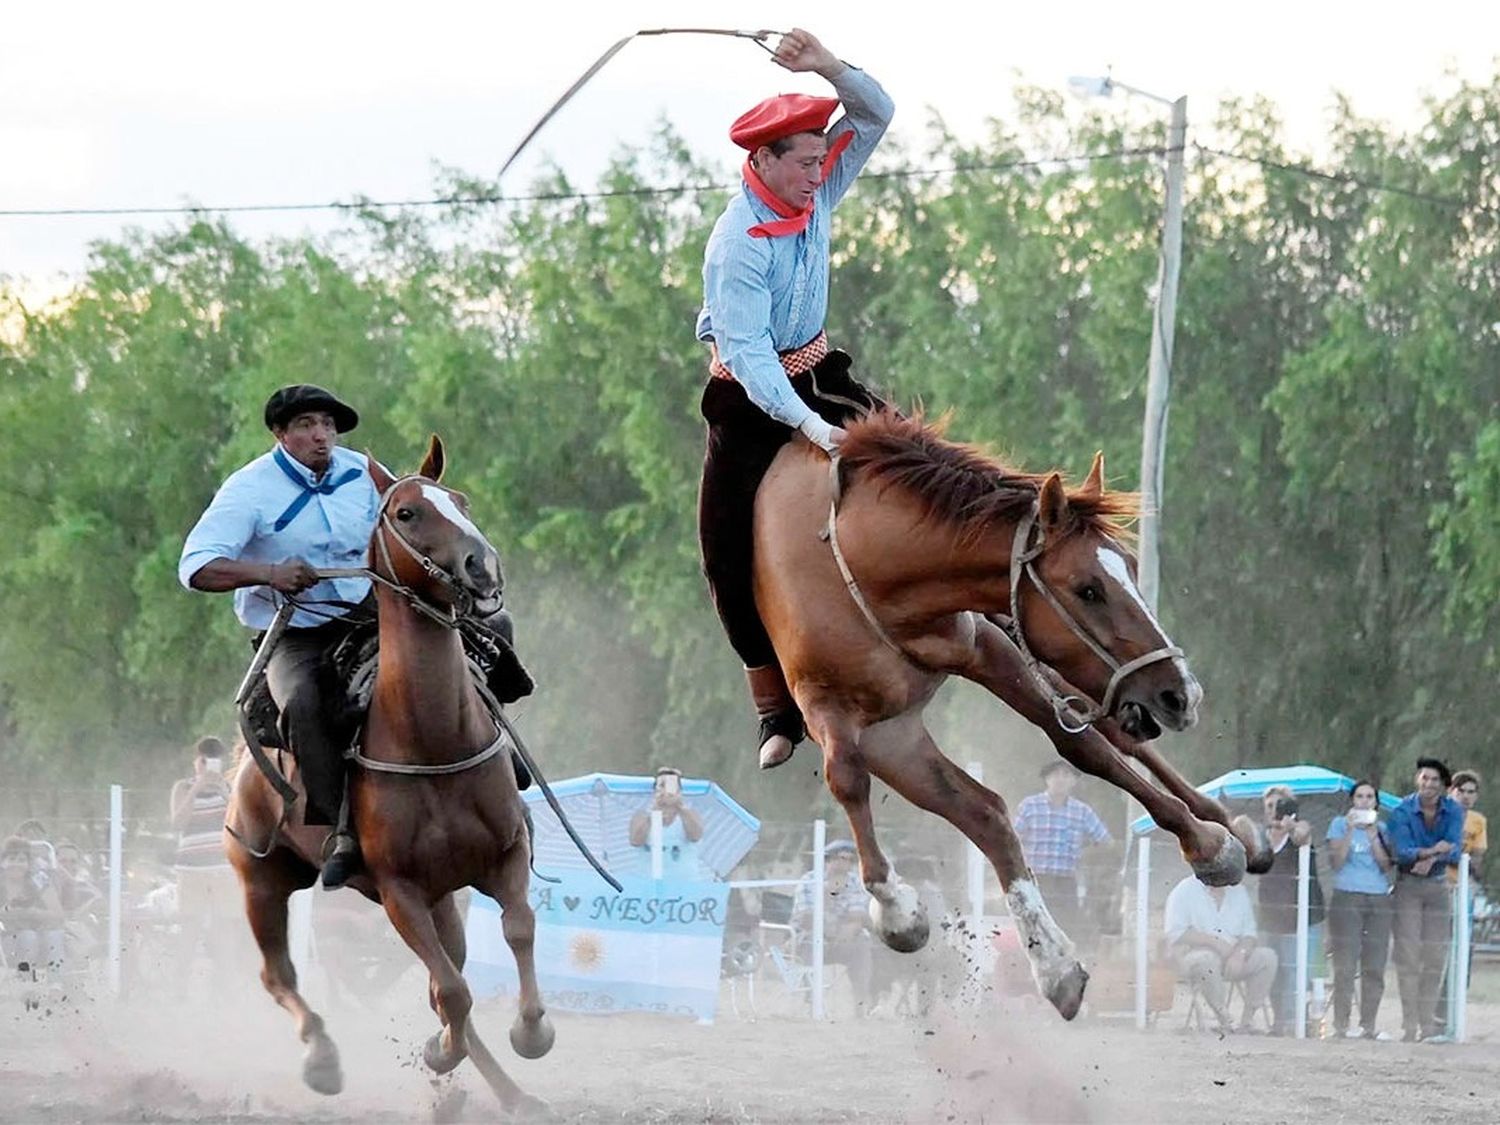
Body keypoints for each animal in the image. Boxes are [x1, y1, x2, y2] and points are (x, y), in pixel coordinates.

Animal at [222, 435, 552, 1116]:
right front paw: (441, 1051)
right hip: (261, 878)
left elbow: (515, 933)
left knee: (443, 978)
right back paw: (324, 1061)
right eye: (406, 513)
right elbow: (453, 993)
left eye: (460, 501)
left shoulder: (504, 857)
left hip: (440, 897)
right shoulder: (400, 891)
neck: (432, 739)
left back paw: (506, 1093)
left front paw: (530, 1034)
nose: (483, 568)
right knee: (280, 975)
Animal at [756, 411, 1272, 1014]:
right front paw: (899, 913)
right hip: (897, 738)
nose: (1181, 694)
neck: (866, 563)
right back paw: (1055, 966)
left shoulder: (991, 650)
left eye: (1131, 568)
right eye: (1088, 588)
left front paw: (1210, 846)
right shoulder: (835, 710)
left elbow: (1082, 748)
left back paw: (1230, 827)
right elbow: (847, 779)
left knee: (1115, 742)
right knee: (988, 812)